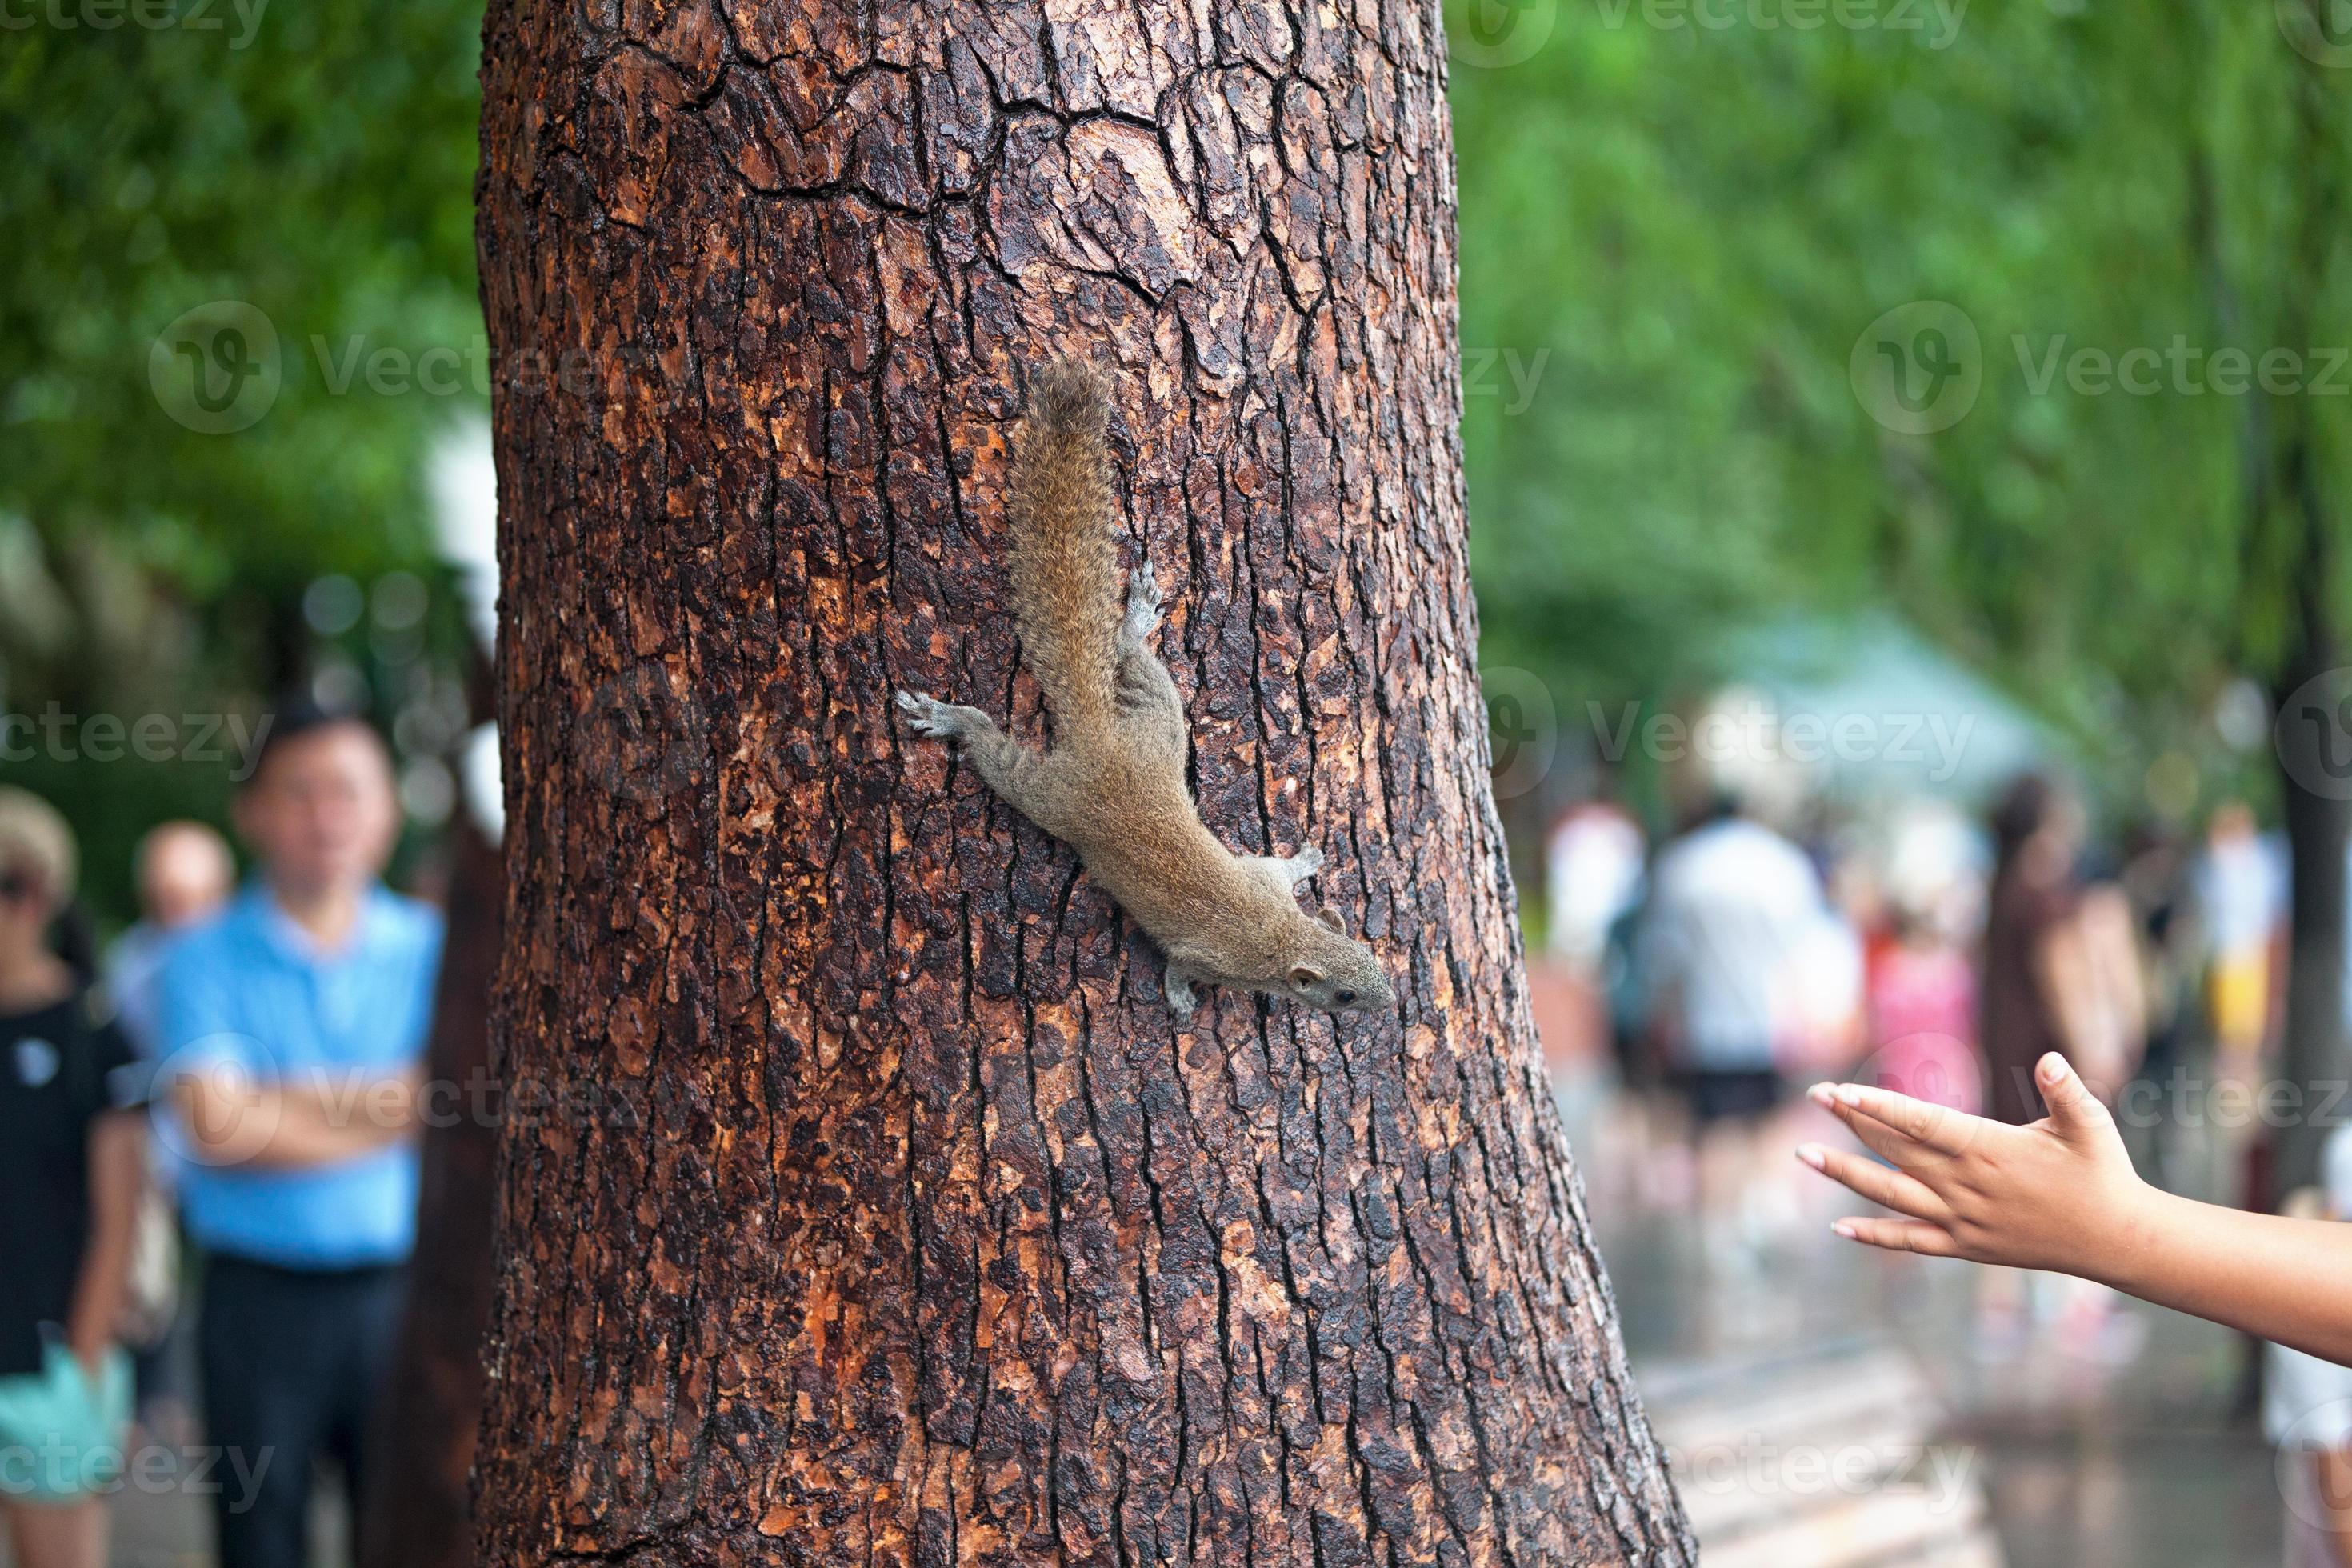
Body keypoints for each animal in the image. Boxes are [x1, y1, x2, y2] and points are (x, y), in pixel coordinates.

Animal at [897, 360, 1393, 1021]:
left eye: (1368, 954)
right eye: (1345, 994)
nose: (1391, 1001)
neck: (1280, 934)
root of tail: (1102, 741)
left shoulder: (1261, 881)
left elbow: (1275, 866)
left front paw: (1306, 860)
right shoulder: (1213, 957)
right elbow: (1182, 964)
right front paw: (1181, 999)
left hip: (1160, 727)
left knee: (1134, 664)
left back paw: (1132, 621)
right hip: (1053, 796)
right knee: (994, 751)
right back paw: (951, 719)